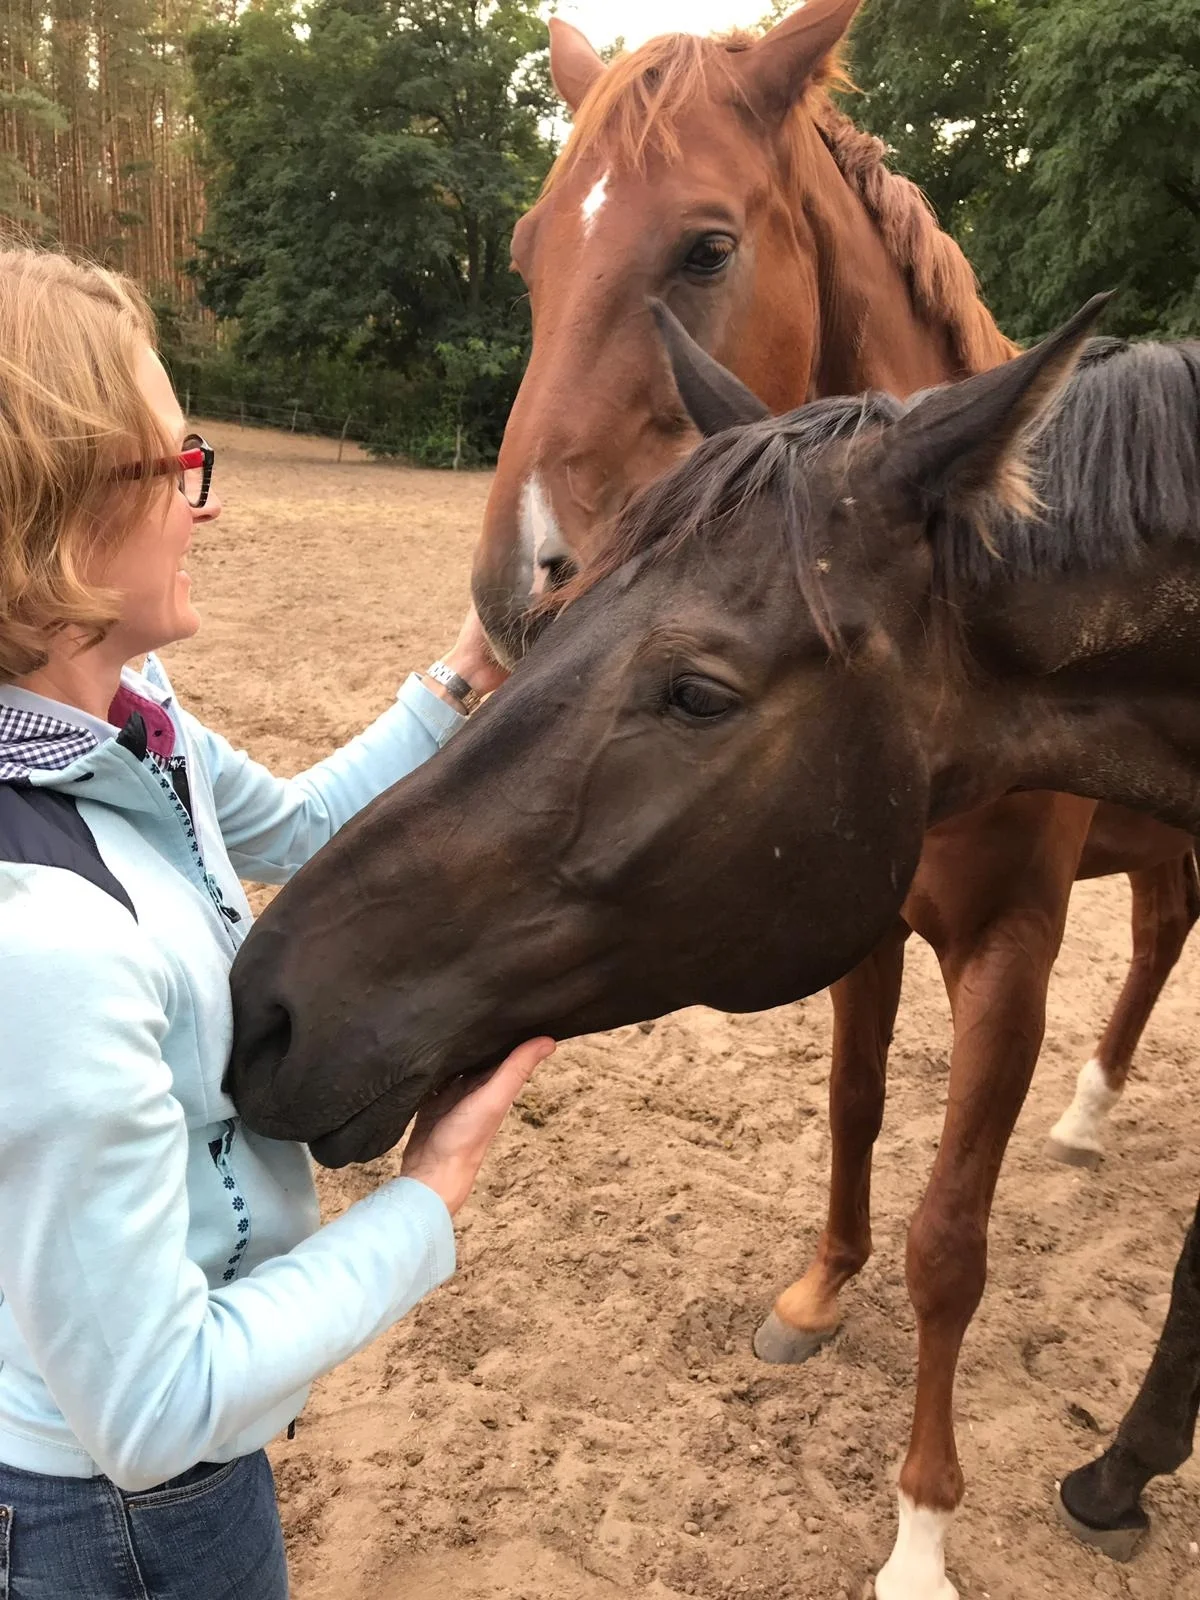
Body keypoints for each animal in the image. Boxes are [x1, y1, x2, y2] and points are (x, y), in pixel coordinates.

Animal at [226, 301, 1200, 1597]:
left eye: (696, 692)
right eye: (554, 618)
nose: (265, 1007)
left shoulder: (1010, 949)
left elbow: (950, 1241)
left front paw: (927, 1532)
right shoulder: (868, 927)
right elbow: (852, 1106)